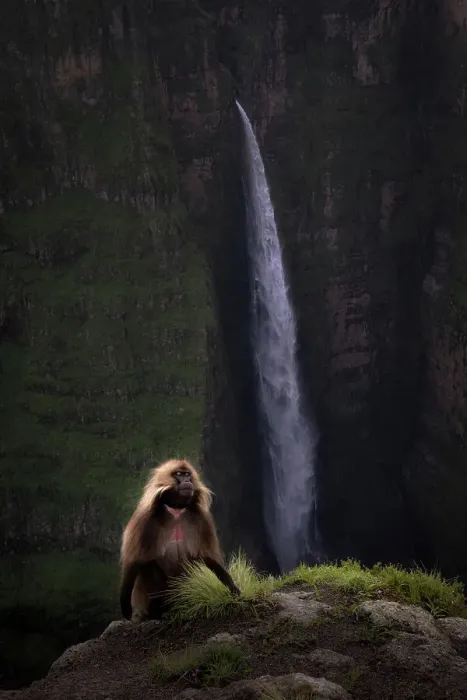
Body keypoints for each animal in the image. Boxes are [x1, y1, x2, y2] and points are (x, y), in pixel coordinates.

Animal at [119, 458, 241, 621]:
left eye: (187, 474)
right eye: (179, 474)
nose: (187, 481)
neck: (176, 508)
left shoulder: (202, 519)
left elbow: (207, 558)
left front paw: (231, 586)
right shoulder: (144, 517)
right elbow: (134, 561)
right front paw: (125, 604)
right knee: (150, 566)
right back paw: (156, 613)